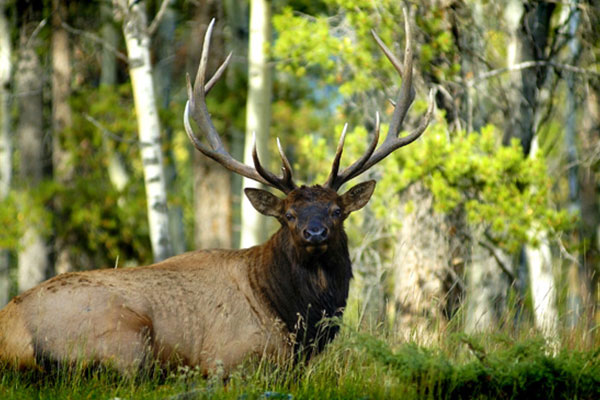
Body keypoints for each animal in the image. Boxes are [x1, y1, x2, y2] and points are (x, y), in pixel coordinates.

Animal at [0, 10, 432, 376]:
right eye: (288, 215)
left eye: (337, 211)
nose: (315, 233)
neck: (295, 320)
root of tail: (11, 333)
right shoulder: (233, 359)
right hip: (125, 335)